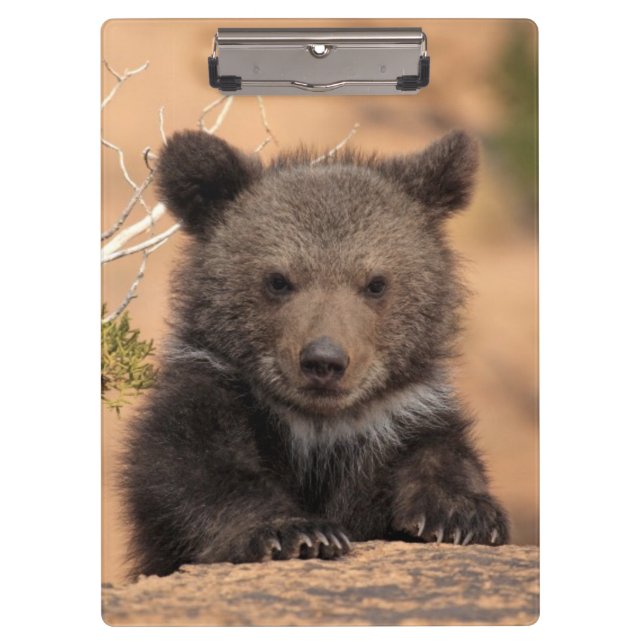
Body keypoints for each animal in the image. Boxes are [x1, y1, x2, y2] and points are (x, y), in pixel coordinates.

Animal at [121, 128, 509, 578]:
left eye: (376, 283)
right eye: (278, 280)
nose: (324, 361)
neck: (319, 429)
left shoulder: (401, 416)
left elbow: (440, 453)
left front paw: (462, 514)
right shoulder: (215, 394)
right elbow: (193, 469)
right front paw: (296, 531)